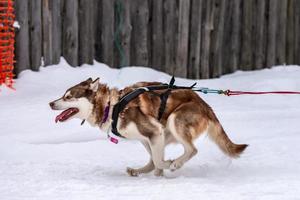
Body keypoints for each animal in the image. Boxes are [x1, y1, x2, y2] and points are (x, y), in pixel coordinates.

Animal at [48, 78, 246, 177]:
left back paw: (176, 163)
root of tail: (206, 106)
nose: (50, 103)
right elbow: (154, 160)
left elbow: (159, 160)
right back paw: (141, 171)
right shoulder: (150, 137)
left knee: (192, 150)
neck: (111, 106)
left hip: (174, 120)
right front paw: (154, 173)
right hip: (161, 134)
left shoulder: (154, 132)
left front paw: (169, 165)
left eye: (68, 97)